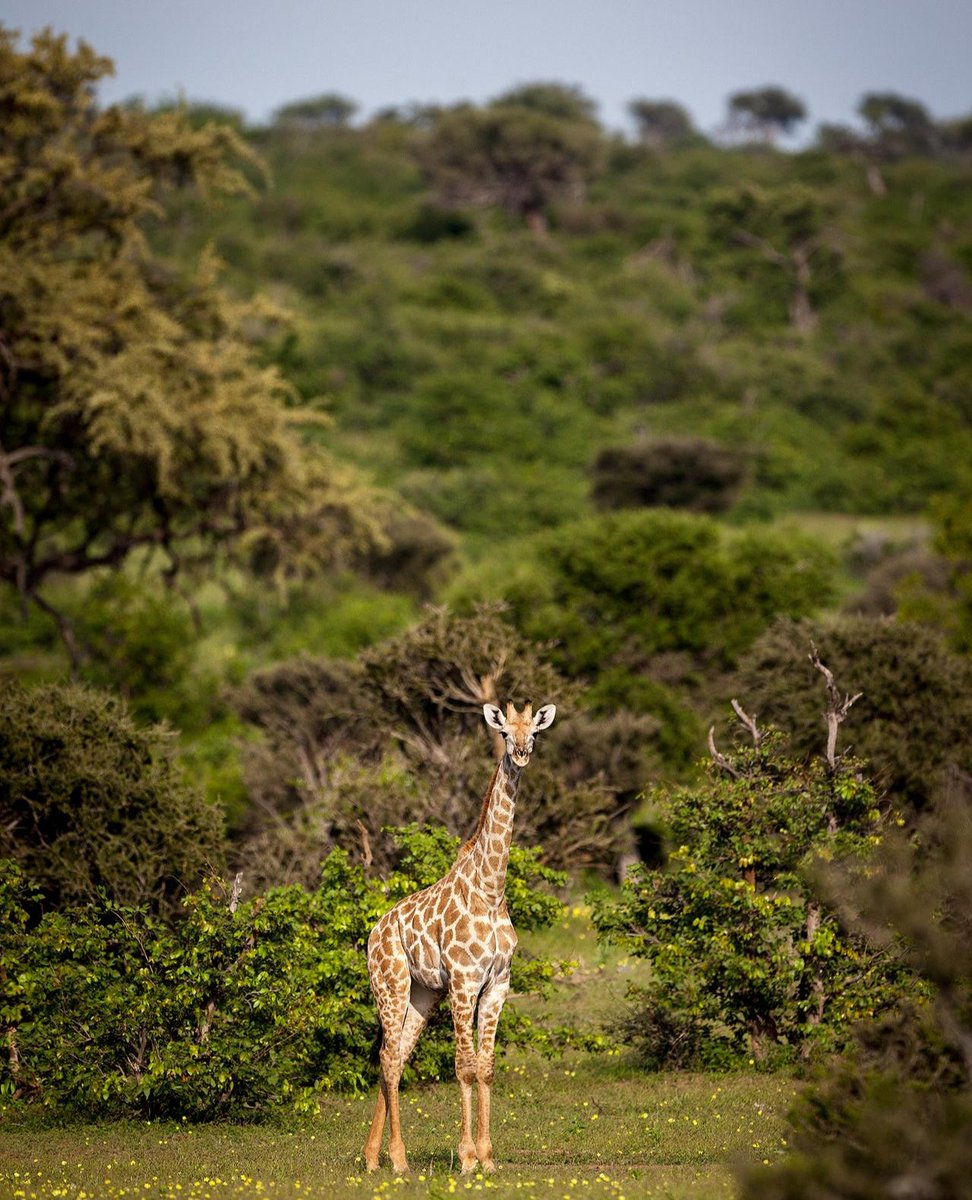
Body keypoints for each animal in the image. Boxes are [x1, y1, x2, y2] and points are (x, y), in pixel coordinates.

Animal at [363, 700, 557, 1176]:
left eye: (534, 733)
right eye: (504, 732)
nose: (521, 753)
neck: (491, 889)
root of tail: (374, 932)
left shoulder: (498, 984)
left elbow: (485, 1067)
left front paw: (487, 1157)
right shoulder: (464, 982)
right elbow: (464, 1065)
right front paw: (467, 1158)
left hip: (422, 994)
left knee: (394, 1057)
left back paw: (373, 1157)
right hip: (391, 985)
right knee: (389, 1058)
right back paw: (398, 1159)